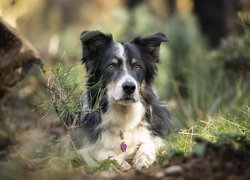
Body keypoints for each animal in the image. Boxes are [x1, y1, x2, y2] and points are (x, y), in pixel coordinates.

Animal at [76, 30, 173, 169]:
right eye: (111, 66)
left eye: (137, 67)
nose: (129, 87)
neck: (124, 113)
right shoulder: (84, 144)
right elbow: (96, 151)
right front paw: (121, 163)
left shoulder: (156, 133)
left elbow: (150, 142)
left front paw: (143, 159)